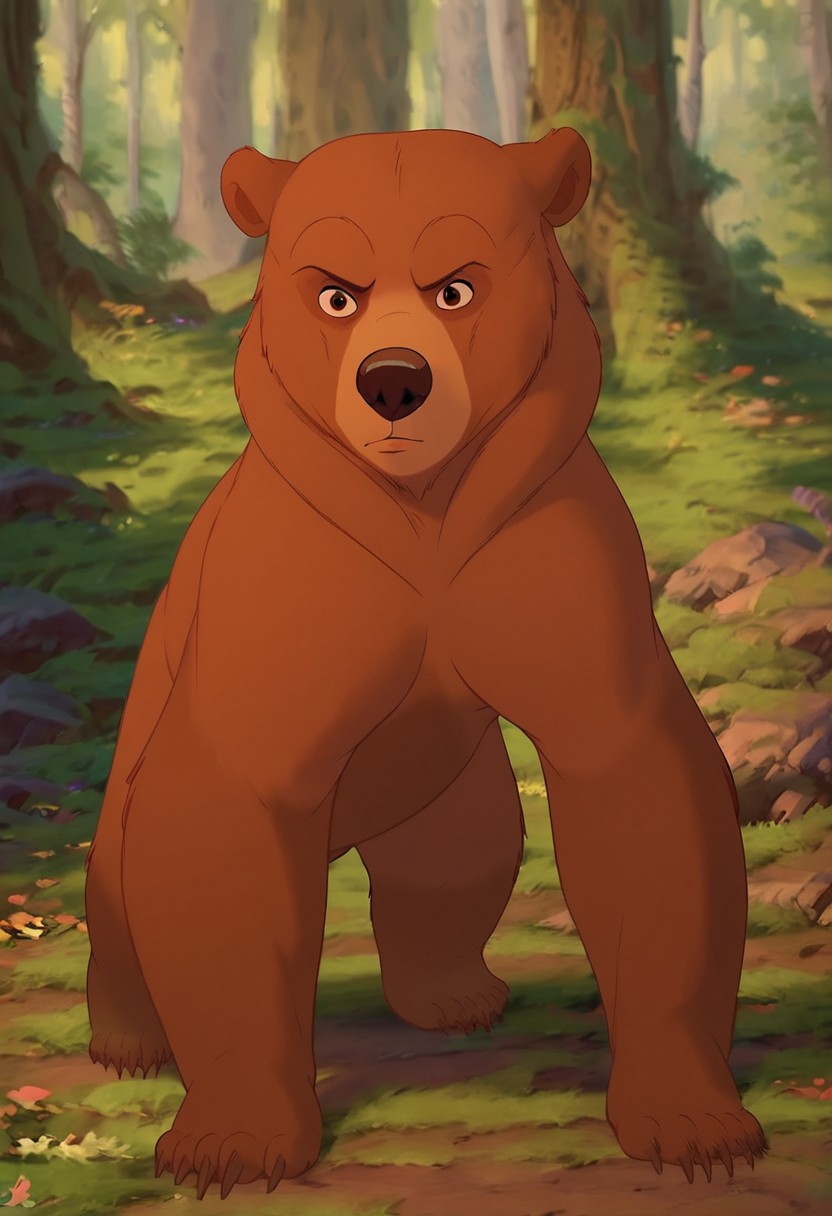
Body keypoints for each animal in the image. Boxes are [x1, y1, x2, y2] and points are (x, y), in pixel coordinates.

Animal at [84, 125, 766, 1200]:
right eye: (336, 293)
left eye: (457, 286)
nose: (394, 381)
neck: (424, 516)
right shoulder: (285, 595)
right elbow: (221, 824)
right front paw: (232, 1143)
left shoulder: (550, 558)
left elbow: (640, 799)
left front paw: (695, 1122)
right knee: (117, 868)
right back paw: (126, 1040)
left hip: (448, 793)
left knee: (458, 859)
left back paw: (454, 993)